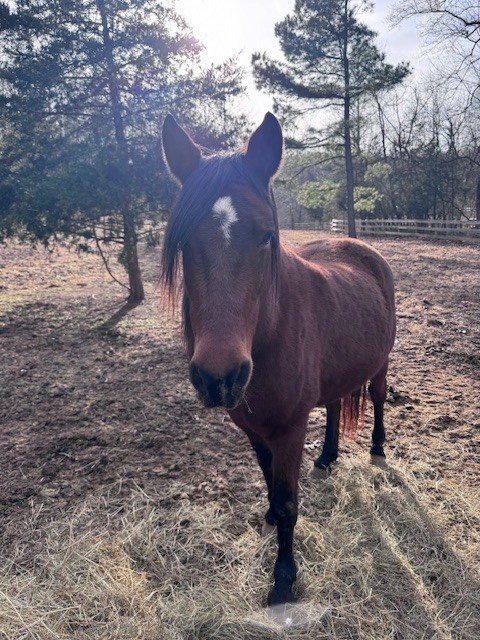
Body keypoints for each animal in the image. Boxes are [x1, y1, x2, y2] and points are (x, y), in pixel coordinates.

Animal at [161, 112, 396, 606]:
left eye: (266, 236)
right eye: (183, 241)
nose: (219, 377)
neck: (267, 336)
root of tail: (362, 249)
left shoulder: (288, 429)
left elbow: (289, 503)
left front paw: (284, 578)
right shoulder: (252, 427)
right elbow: (270, 481)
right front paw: (269, 515)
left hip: (381, 364)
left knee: (379, 399)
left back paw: (378, 448)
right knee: (333, 405)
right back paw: (326, 457)